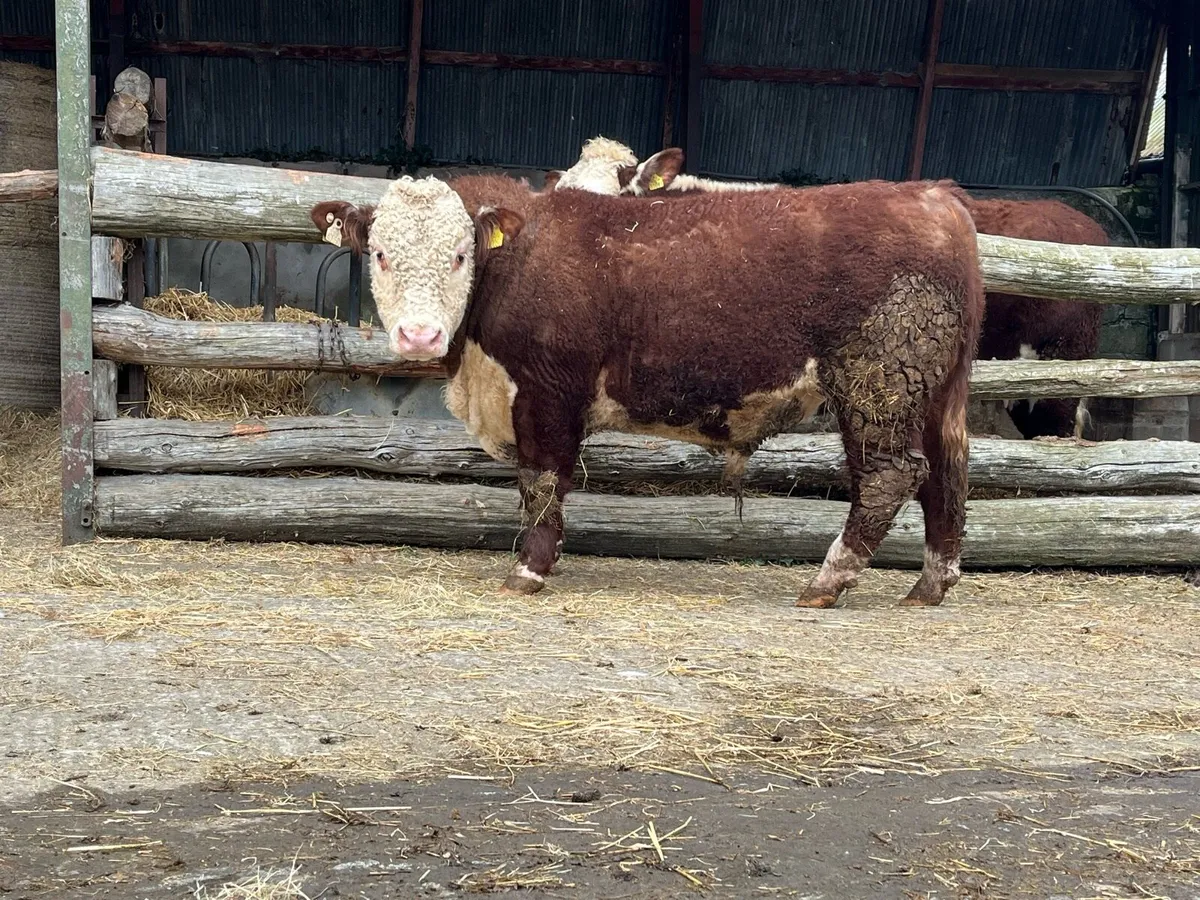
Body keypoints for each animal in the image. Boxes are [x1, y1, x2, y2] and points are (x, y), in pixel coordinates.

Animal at [310, 172, 984, 609]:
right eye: (379, 253)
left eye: (458, 254)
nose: (419, 334)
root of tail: (933, 197)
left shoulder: (547, 393)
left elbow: (542, 480)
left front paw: (530, 567)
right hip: (935, 394)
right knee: (947, 472)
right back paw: (930, 585)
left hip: (877, 384)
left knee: (890, 475)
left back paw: (828, 581)